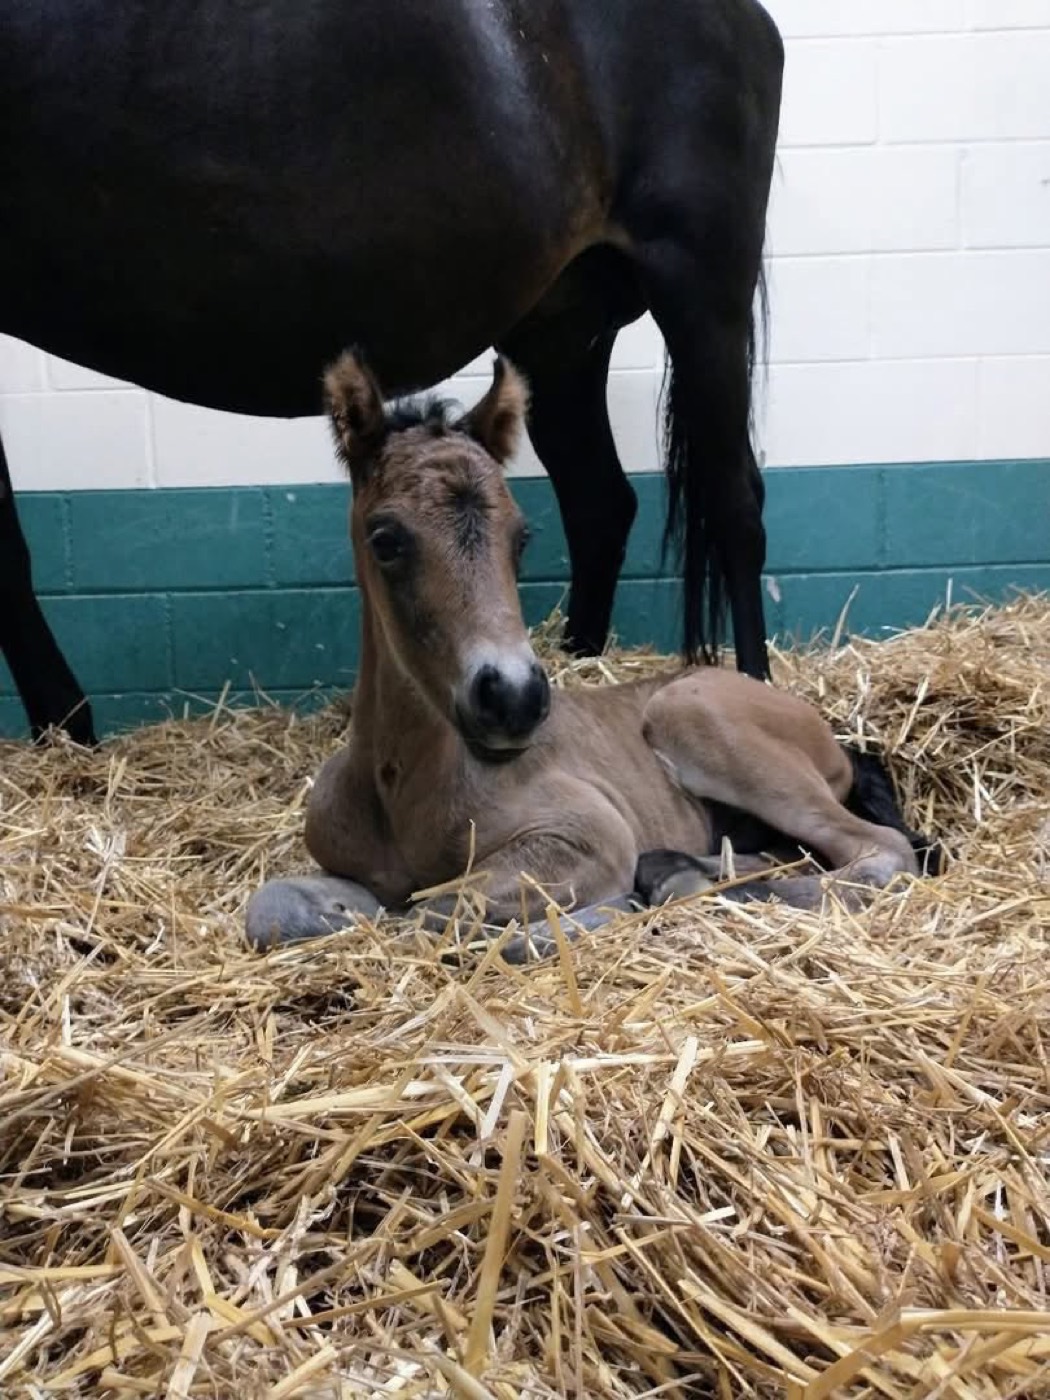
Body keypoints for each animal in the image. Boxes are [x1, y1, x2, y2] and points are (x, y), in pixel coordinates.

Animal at [0, 0, 784, 747]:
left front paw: (65, 727)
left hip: (700, 294)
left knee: (735, 504)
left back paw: (755, 690)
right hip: (563, 333)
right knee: (601, 504)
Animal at [245, 352, 942, 960]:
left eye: (522, 536)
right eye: (385, 540)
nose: (514, 698)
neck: (398, 784)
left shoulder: (587, 834)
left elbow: (436, 915)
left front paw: (598, 915)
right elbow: (273, 908)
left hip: (695, 719)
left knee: (880, 852)